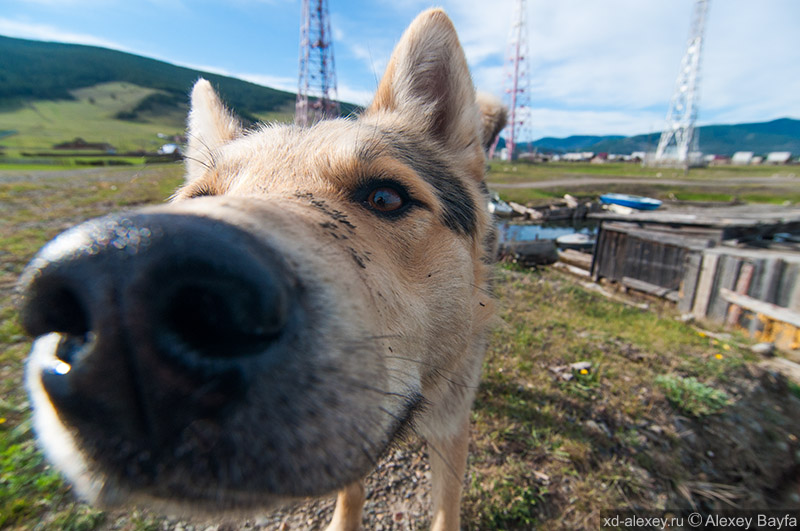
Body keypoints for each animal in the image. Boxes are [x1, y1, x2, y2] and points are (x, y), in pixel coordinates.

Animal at [17, 9, 506, 531]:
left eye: (386, 197)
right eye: (201, 198)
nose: (120, 291)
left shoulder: (450, 431)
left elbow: (445, 506)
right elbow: (352, 490)